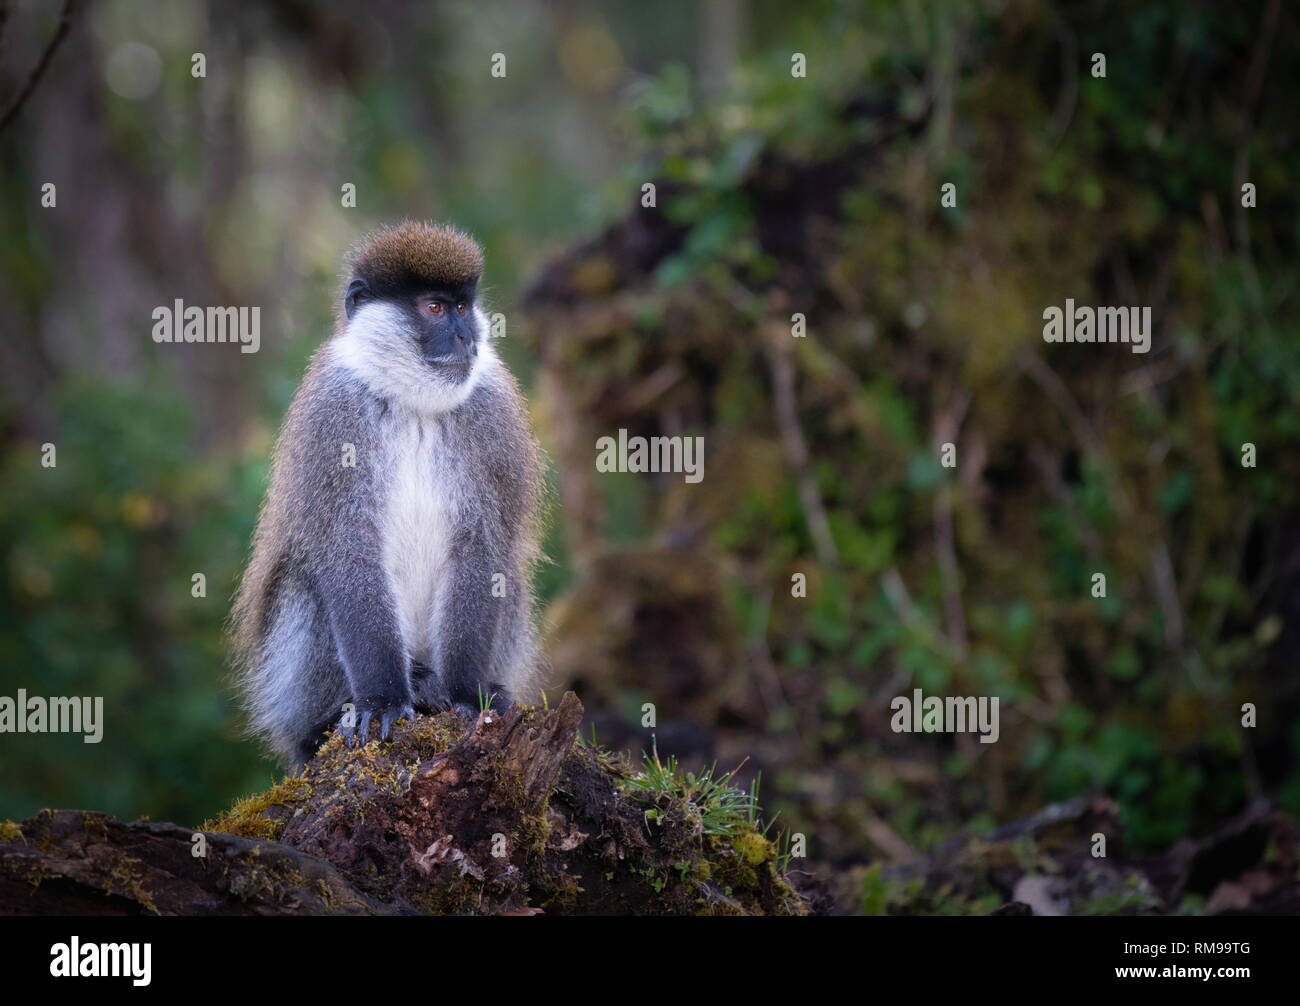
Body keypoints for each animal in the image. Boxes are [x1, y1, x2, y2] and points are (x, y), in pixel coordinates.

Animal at [231, 220, 540, 769]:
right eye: (434, 309)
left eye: (463, 308)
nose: (466, 337)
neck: (412, 403)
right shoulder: (334, 411)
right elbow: (346, 550)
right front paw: (382, 701)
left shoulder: (492, 412)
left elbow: (484, 549)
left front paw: (468, 694)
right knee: (305, 582)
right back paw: (327, 723)